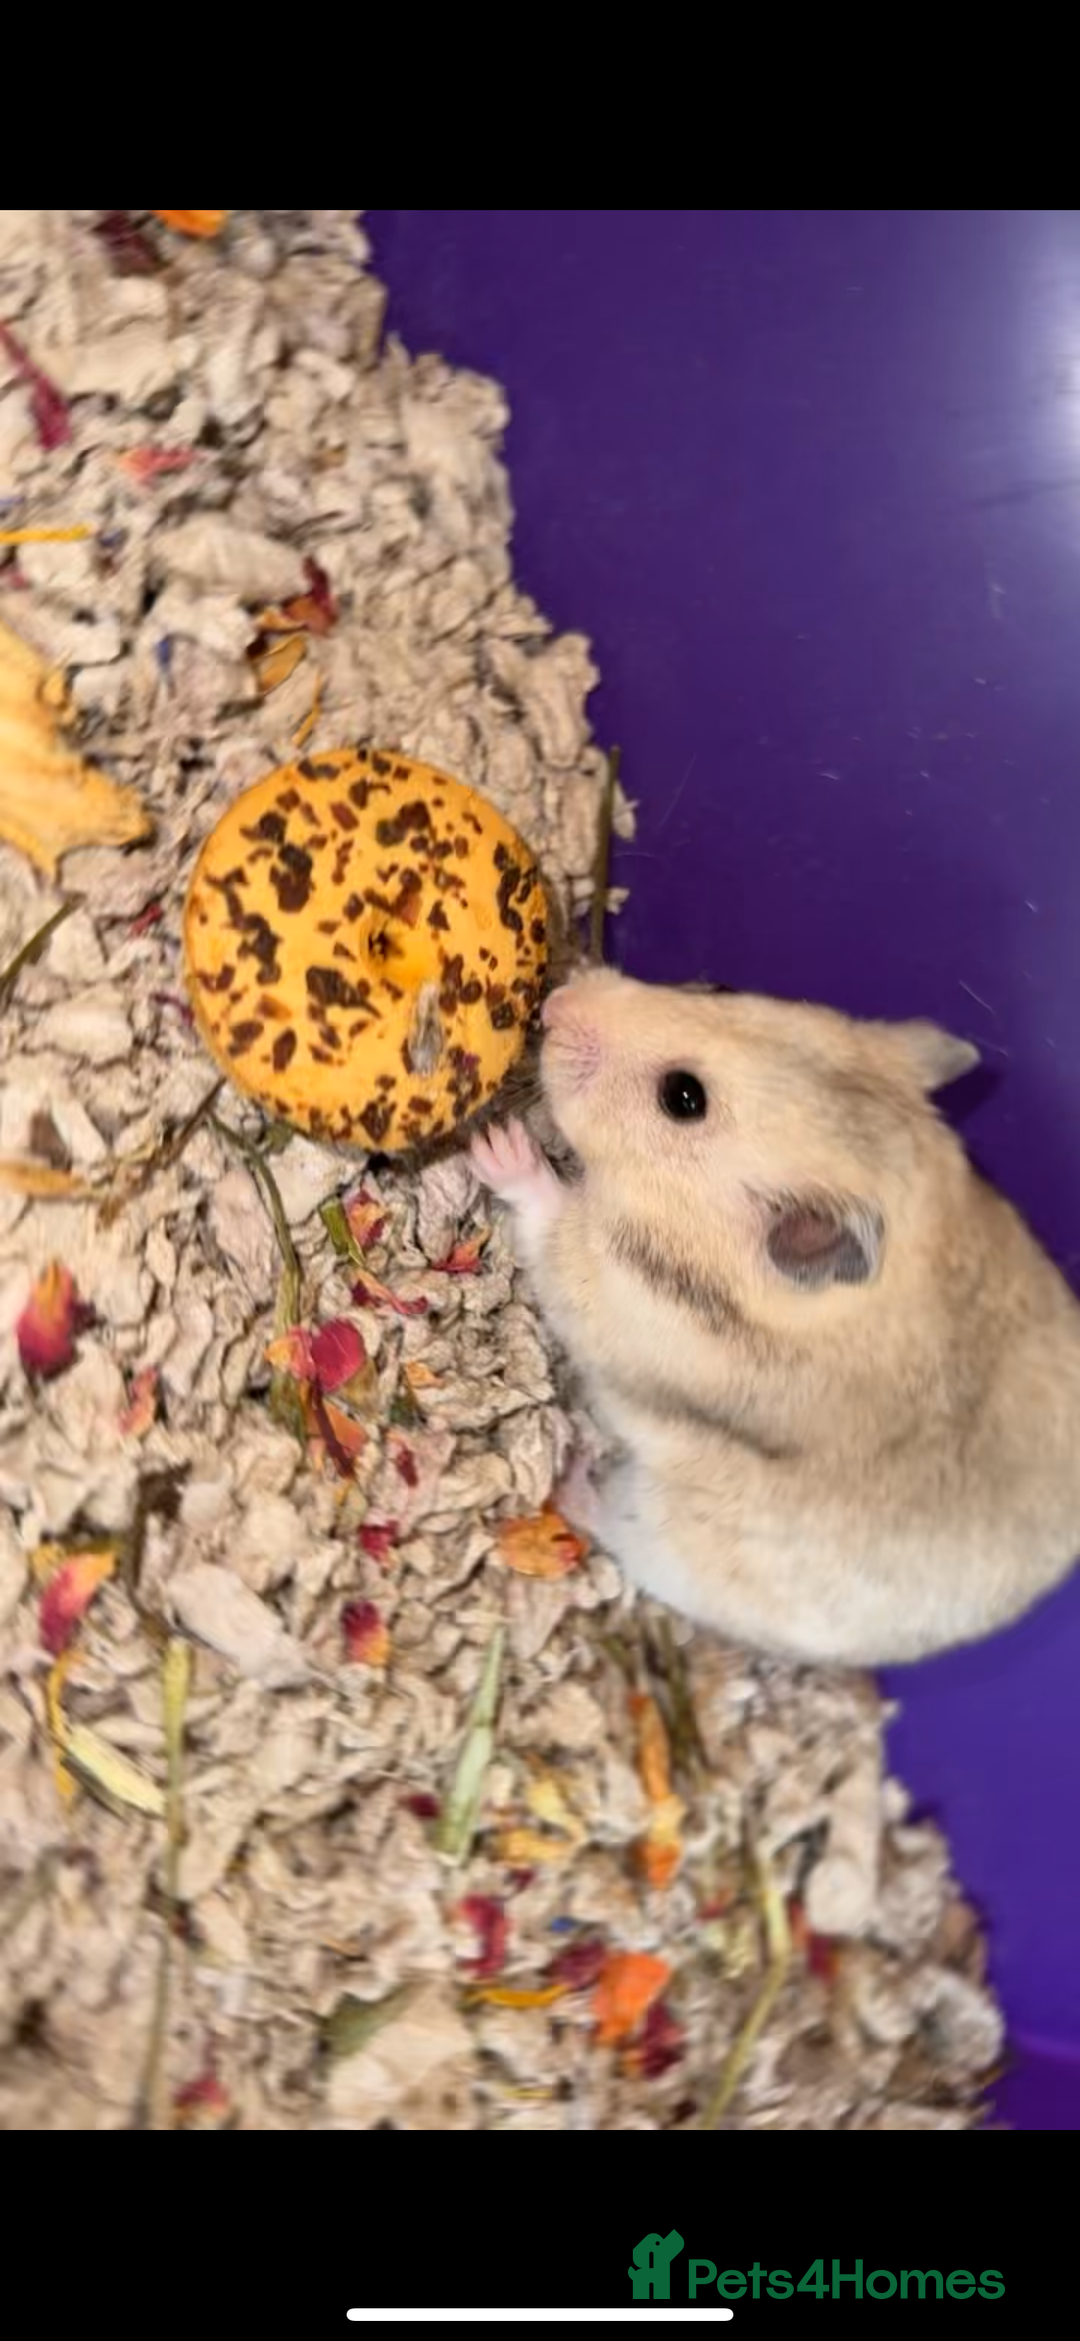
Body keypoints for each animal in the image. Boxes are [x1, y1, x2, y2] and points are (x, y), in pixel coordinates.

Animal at [470, 965, 1080, 1666]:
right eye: (721, 990)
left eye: (683, 1097)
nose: (556, 1001)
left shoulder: (609, 1289)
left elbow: (550, 1224)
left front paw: (498, 1147)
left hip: (668, 1535)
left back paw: (569, 1476)